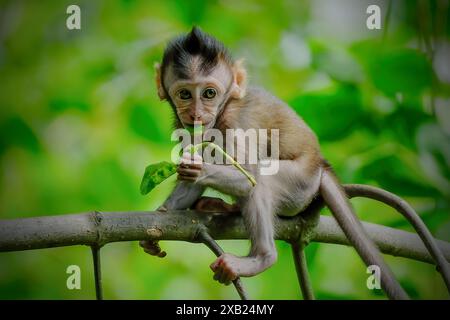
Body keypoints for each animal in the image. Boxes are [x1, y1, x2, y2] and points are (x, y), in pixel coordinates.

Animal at [142, 26, 408, 298]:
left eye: (209, 93)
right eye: (185, 94)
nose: (196, 114)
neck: (223, 110)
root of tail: (321, 166)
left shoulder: (238, 122)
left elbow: (247, 179)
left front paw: (198, 169)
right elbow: (190, 183)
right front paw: (162, 214)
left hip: (300, 183)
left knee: (262, 181)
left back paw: (261, 257)